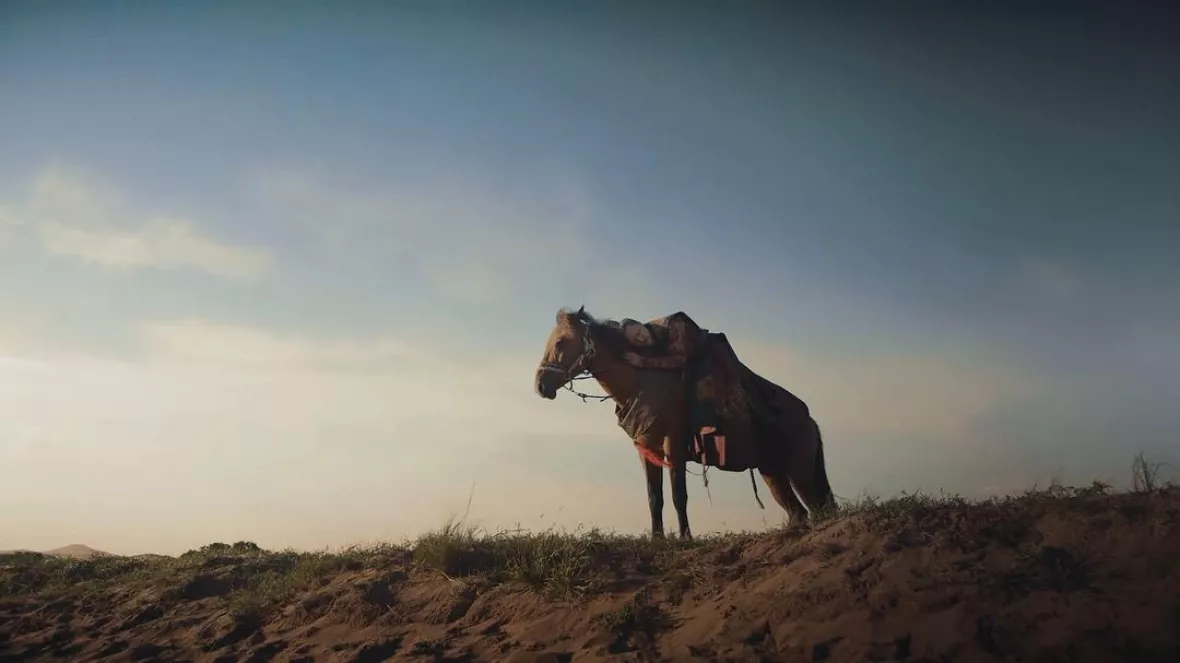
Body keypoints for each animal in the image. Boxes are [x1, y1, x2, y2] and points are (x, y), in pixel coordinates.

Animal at [535, 304, 840, 537]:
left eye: (561, 342)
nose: (540, 385)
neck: (645, 382)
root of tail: (810, 421)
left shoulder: (674, 445)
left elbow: (678, 495)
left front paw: (685, 537)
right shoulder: (647, 450)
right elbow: (654, 498)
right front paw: (657, 539)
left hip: (799, 471)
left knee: (818, 510)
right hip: (773, 472)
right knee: (798, 512)